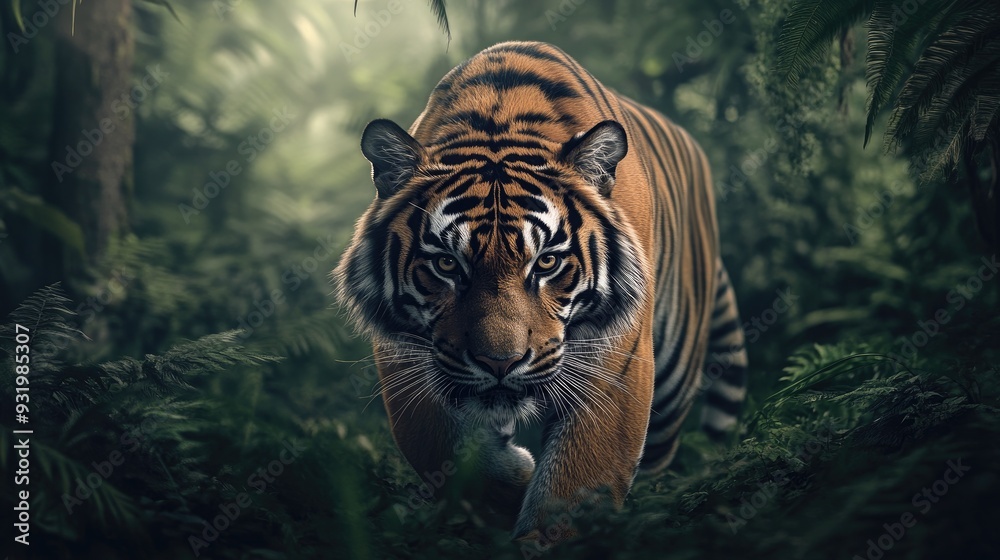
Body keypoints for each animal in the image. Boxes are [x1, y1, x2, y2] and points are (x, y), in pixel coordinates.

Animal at [334, 41, 748, 541]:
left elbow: (576, 486)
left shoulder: (614, 359)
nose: (499, 363)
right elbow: (433, 441)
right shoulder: (403, 352)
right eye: (447, 264)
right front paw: (513, 482)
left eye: (546, 261)